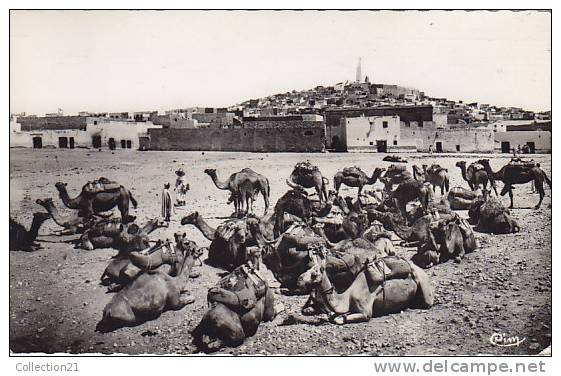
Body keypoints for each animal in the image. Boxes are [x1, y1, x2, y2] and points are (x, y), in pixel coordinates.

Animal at [298, 250, 434, 324]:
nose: (299, 280)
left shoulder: (365, 313)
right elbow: (334, 315)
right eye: (308, 269)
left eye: (315, 273)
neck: (347, 297)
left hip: (423, 284)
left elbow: (340, 319)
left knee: (427, 302)